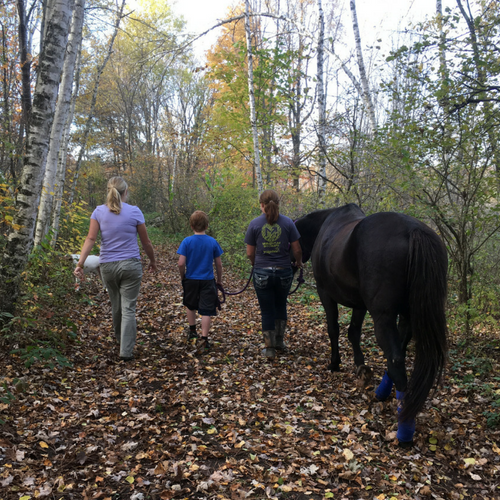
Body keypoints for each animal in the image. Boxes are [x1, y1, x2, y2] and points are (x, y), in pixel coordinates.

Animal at [292, 205, 450, 444]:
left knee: (396, 358)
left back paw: (404, 428)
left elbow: (334, 329)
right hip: (406, 314)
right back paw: (383, 392)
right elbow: (353, 332)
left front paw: (335, 363)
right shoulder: (360, 304)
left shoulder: (325, 294)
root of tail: (413, 230)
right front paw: (360, 366)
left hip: (383, 316)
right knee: (399, 351)